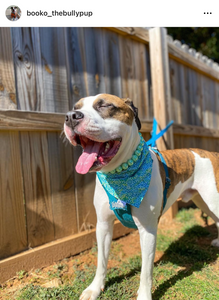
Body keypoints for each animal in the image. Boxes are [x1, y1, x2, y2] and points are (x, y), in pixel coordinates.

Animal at [64, 94, 219, 300]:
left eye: (105, 105)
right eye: (76, 107)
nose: (71, 116)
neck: (119, 176)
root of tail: (210, 153)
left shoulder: (148, 231)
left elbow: (146, 272)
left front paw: (144, 295)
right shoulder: (103, 225)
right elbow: (101, 262)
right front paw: (95, 288)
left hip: (212, 200)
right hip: (203, 202)